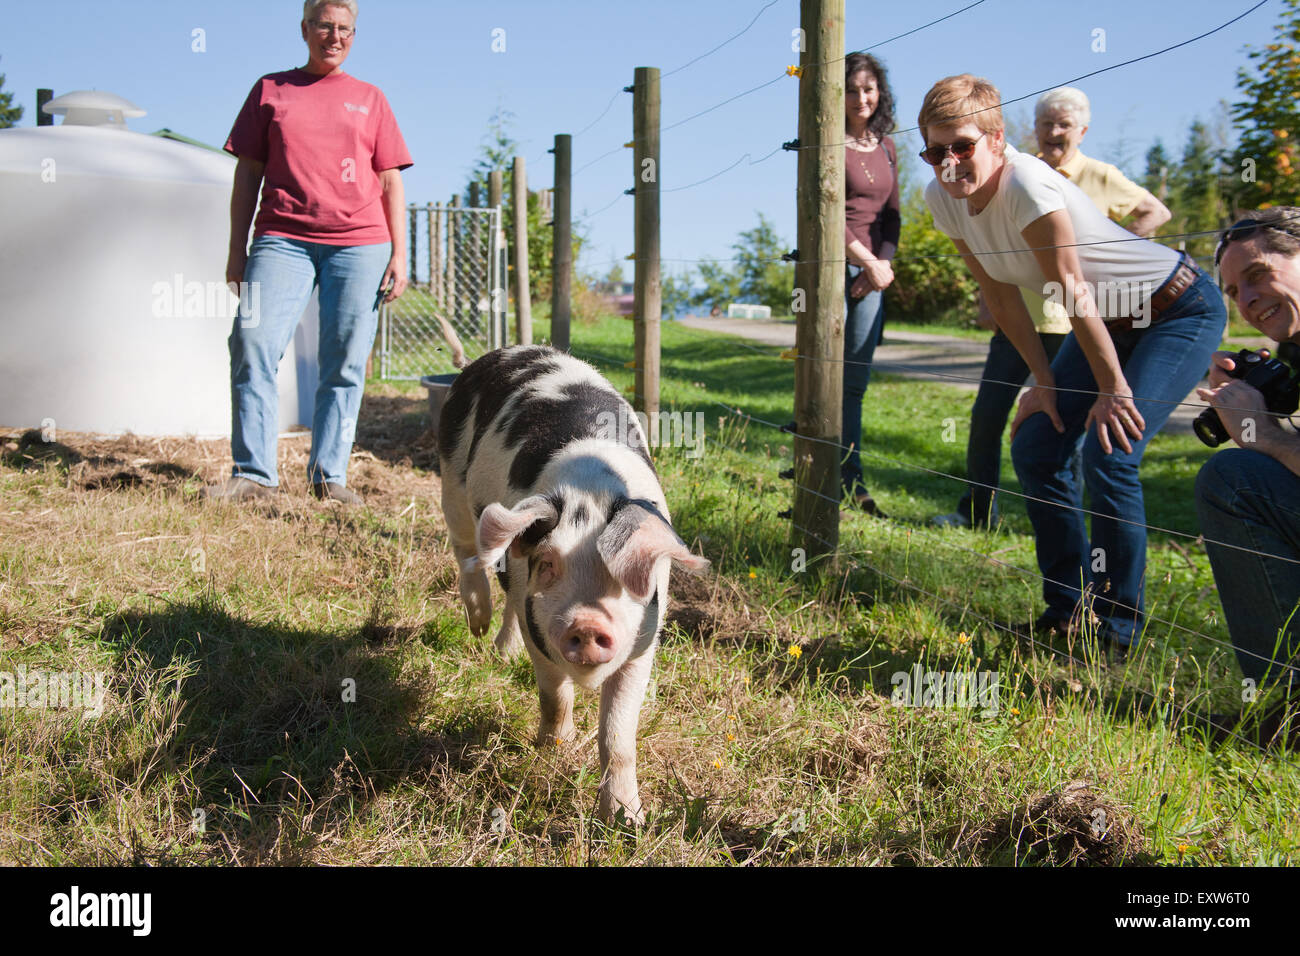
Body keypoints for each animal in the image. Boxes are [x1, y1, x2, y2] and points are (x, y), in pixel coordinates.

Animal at [436, 343, 712, 822]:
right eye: (549, 562)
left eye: (629, 571)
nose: (587, 622)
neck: (593, 491)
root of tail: (505, 352)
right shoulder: (540, 631)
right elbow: (553, 694)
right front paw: (552, 750)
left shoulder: (642, 643)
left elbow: (618, 737)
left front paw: (627, 821)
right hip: (452, 478)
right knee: (469, 552)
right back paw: (478, 626)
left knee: (507, 594)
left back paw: (502, 654)